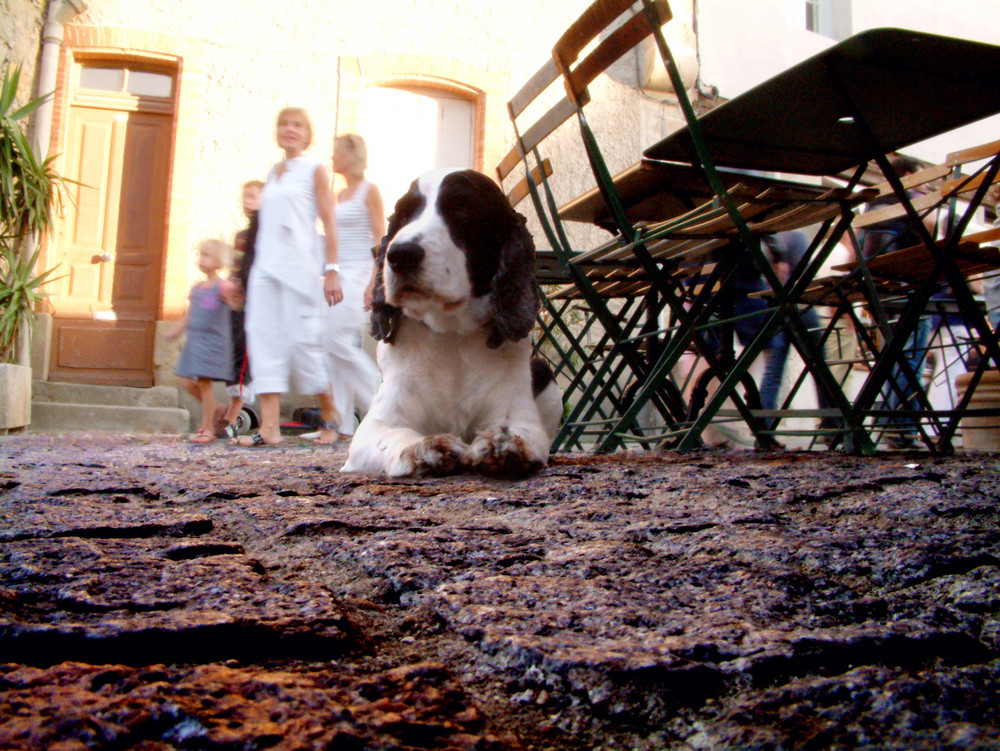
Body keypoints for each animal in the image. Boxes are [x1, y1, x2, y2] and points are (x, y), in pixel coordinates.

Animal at [342, 168, 564, 478]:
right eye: (405, 215)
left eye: (463, 210)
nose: (400, 255)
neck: (450, 335)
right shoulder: (373, 427)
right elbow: (392, 435)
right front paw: (427, 448)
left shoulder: (520, 415)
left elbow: (522, 433)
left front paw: (504, 445)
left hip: (543, 369)